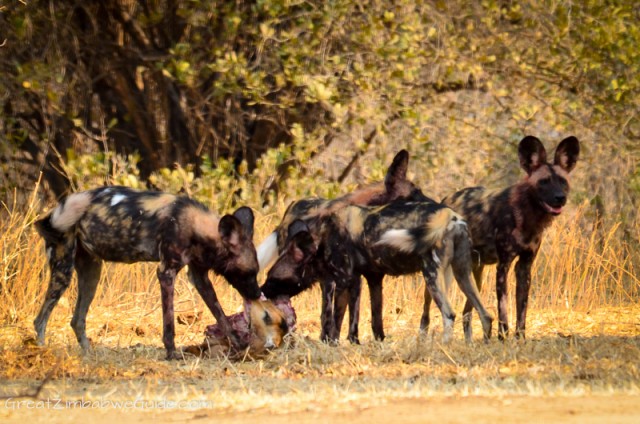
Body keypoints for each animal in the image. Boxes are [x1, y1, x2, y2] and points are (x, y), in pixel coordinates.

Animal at [32, 186, 288, 358]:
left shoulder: (199, 277)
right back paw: (42, 349)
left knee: (77, 319)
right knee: (40, 319)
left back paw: (89, 352)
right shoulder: (166, 271)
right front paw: (172, 353)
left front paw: (239, 346)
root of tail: (54, 211)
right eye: (249, 272)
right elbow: (169, 324)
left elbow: (221, 316)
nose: (257, 293)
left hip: (91, 274)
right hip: (63, 271)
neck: (196, 227)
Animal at [258, 151, 432, 342]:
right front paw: (333, 341)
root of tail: (291, 208)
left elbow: (364, 316)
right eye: (413, 197)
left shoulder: (362, 278)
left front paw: (359, 341)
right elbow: (336, 317)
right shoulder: (339, 279)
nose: (436, 205)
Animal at [260, 200, 496, 342]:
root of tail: (451, 217)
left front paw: (331, 343)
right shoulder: (367, 279)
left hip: (432, 277)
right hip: (462, 274)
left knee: (449, 314)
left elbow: (333, 319)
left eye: (272, 278)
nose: (261, 290)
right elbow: (369, 319)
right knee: (485, 315)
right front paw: (361, 342)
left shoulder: (340, 281)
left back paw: (442, 346)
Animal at [442, 136, 584, 342]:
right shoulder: (503, 266)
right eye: (544, 182)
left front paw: (520, 339)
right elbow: (503, 310)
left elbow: (521, 311)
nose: (560, 198)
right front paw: (503, 339)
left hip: (474, 274)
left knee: (467, 312)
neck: (527, 216)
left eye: (563, 181)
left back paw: (471, 342)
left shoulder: (524, 267)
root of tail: (447, 199)